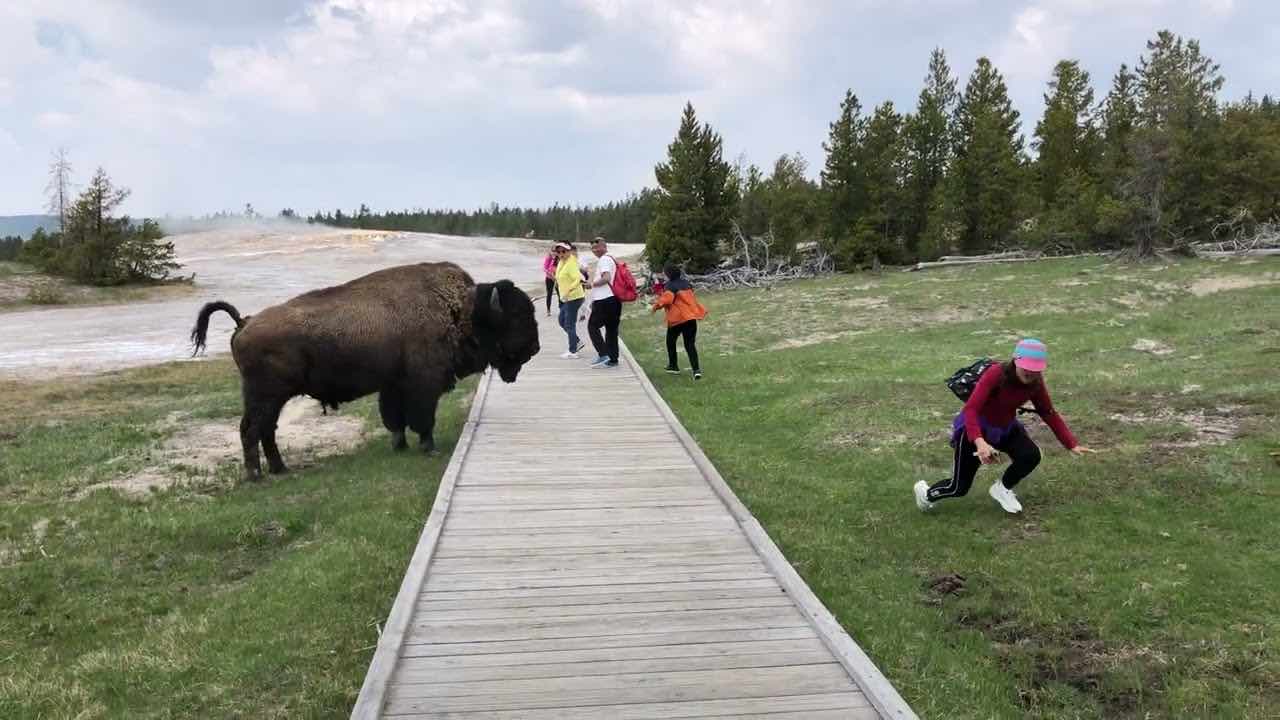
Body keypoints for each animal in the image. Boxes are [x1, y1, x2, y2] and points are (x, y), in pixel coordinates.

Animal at [186, 260, 537, 479]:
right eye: (516, 317)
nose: (534, 348)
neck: (462, 310)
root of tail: (244, 322)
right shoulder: (423, 385)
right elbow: (422, 419)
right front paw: (429, 448)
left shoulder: (393, 385)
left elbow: (395, 419)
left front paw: (400, 446)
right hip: (265, 395)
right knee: (251, 429)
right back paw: (257, 475)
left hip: (271, 398)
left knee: (265, 430)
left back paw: (280, 469)